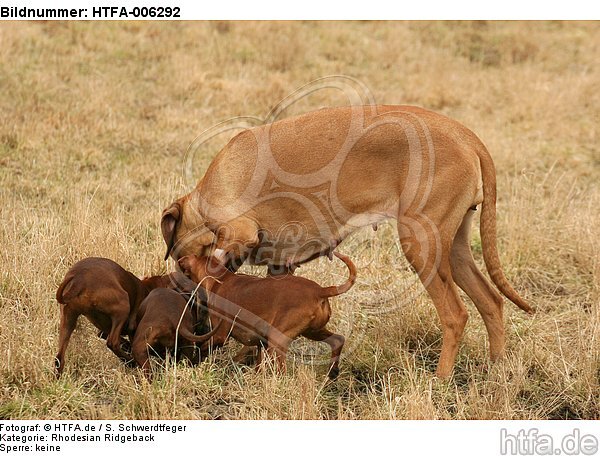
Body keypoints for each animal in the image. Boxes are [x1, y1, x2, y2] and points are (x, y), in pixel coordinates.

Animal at [54, 256, 190, 378]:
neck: (148, 288)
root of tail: (79, 279)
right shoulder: (133, 329)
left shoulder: (103, 331)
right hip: (123, 306)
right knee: (112, 342)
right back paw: (130, 362)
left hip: (68, 320)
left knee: (59, 358)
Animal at [178, 251, 356, 380]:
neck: (220, 279)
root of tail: (320, 291)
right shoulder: (261, 344)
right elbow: (258, 365)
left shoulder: (220, 336)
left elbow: (202, 347)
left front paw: (192, 362)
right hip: (313, 332)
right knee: (338, 340)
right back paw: (333, 372)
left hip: (277, 340)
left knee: (282, 371)